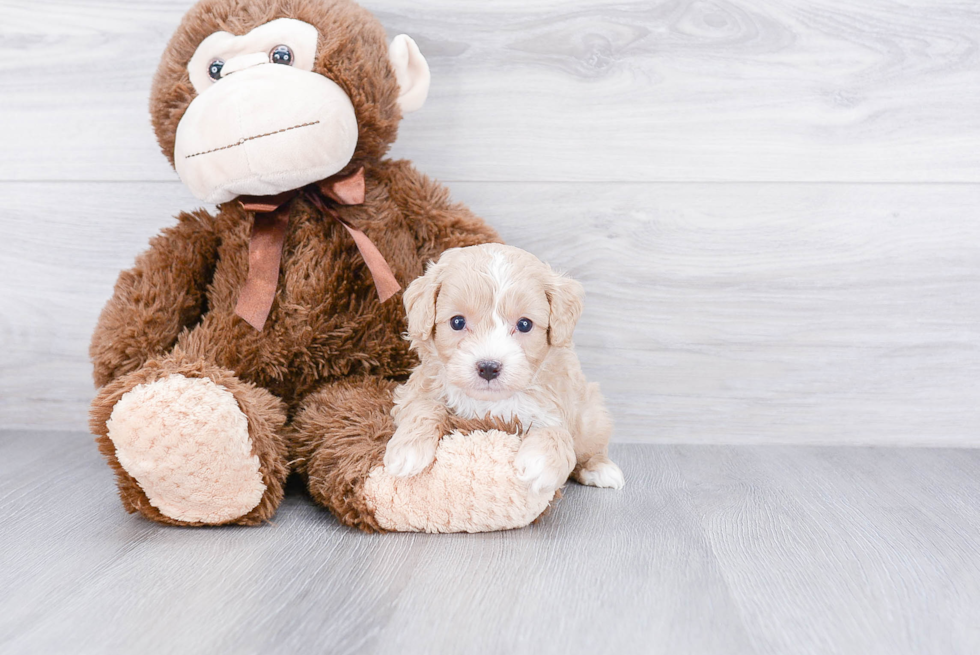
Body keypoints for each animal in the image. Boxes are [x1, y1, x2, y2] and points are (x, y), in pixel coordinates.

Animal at [378, 243, 624, 494]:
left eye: (524, 324)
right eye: (457, 322)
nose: (488, 367)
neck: (490, 402)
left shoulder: (555, 404)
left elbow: (557, 430)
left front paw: (541, 462)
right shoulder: (416, 390)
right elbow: (424, 407)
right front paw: (408, 449)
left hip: (592, 417)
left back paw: (599, 468)